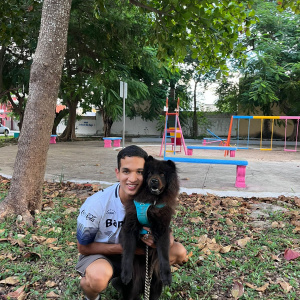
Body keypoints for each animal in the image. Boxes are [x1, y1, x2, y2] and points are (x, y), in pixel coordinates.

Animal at [119, 156, 179, 298]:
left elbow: (164, 255)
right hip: (133, 286)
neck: (152, 202)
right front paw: (125, 273)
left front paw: (167, 275)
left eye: (162, 174)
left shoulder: (162, 230)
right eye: (150, 173)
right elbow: (128, 252)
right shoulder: (129, 228)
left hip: (155, 284)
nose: (154, 180)